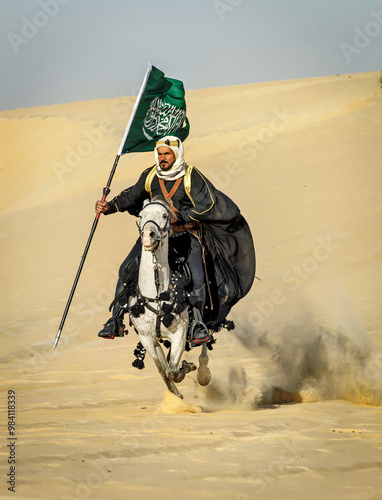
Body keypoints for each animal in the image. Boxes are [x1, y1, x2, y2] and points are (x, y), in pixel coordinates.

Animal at [129, 198, 212, 398]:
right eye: (141, 215)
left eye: (165, 215)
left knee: (205, 344)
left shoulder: (180, 332)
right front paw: (177, 395)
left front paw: (187, 367)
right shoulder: (147, 338)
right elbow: (163, 370)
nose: (148, 236)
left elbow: (172, 369)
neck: (157, 296)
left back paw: (203, 374)